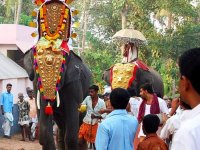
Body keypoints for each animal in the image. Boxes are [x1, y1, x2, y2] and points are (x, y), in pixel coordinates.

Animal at [23, 0, 91, 149]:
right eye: (37, 67)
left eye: (61, 67)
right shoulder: (37, 86)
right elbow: (44, 132)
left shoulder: (74, 84)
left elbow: (71, 135)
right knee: (61, 128)